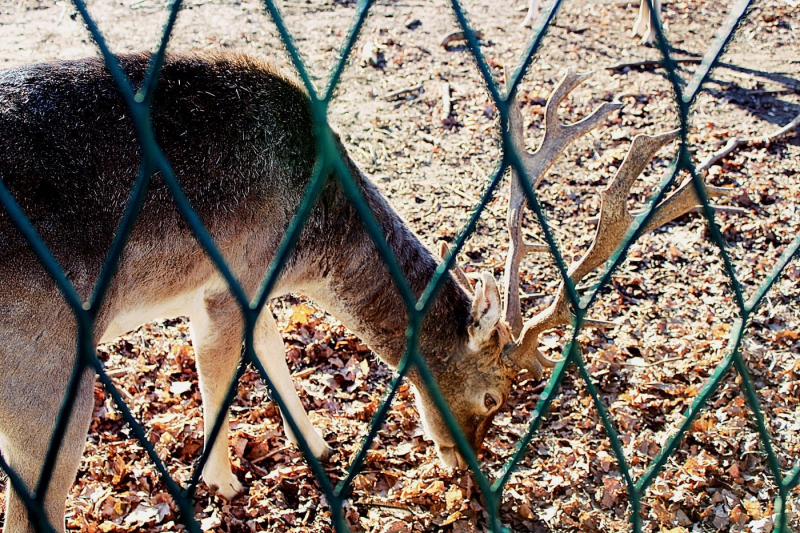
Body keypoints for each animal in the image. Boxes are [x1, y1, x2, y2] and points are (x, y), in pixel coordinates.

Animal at [0, 51, 736, 532]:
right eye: (494, 397)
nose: (467, 470)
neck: (314, 249)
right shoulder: (227, 282)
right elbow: (223, 371)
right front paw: (224, 481)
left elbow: (274, 351)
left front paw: (318, 444)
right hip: (46, 374)